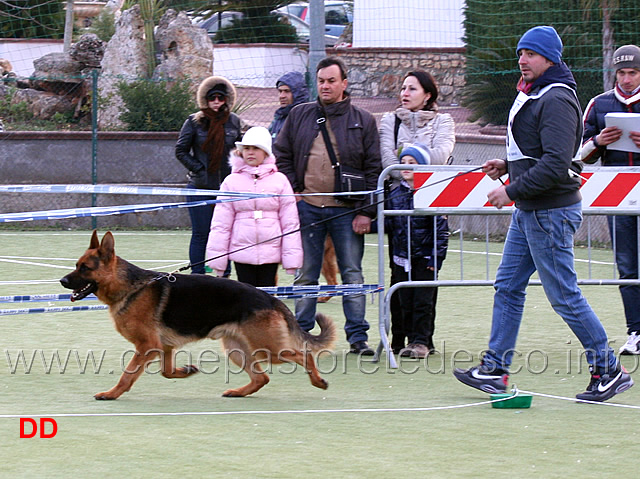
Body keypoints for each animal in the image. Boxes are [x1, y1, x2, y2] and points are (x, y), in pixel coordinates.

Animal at [60, 231, 338, 400]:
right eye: (76, 266)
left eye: (84, 268)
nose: (62, 281)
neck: (130, 286)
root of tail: (270, 298)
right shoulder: (164, 347)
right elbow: (167, 372)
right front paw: (186, 371)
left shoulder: (147, 346)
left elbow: (128, 374)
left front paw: (112, 393)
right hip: (238, 350)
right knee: (262, 377)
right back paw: (239, 392)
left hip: (269, 349)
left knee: (303, 355)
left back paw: (318, 381)